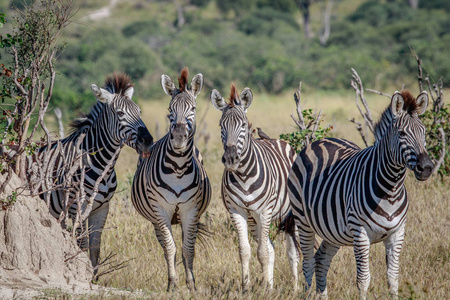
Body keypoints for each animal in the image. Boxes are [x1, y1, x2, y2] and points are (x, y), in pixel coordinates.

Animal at [30, 73, 153, 276]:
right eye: (120, 114)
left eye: (140, 112)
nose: (148, 141)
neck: (102, 166)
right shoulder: (76, 207)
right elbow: (82, 244)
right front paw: (84, 274)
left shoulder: (102, 208)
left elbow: (95, 248)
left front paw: (94, 278)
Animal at [130, 67, 211, 290]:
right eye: (169, 109)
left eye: (193, 108)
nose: (179, 139)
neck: (178, 168)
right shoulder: (161, 210)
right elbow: (170, 249)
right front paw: (173, 285)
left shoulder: (190, 210)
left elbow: (187, 250)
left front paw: (191, 285)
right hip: (155, 220)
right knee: (168, 248)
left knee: (186, 245)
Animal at [210, 84, 298, 290]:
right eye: (221, 126)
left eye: (243, 125)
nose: (231, 159)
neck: (243, 176)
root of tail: (275, 139)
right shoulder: (237, 211)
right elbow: (246, 251)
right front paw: (247, 288)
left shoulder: (264, 211)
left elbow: (263, 252)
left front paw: (264, 290)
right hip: (253, 220)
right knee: (271, 248)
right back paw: (272, 285)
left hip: (292, 215)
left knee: (294, 252)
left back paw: (298, 287)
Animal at [288, 90, 432, 298]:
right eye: (402, 133)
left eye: (424, 132)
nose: (427, 168)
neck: (391, 190)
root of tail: (318, 142)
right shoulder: (360, 232)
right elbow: (363, 280)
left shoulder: (397, 233)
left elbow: (393, 279)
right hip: (303, 220)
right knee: (307, 263)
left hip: (333, 231)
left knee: (321, 260)